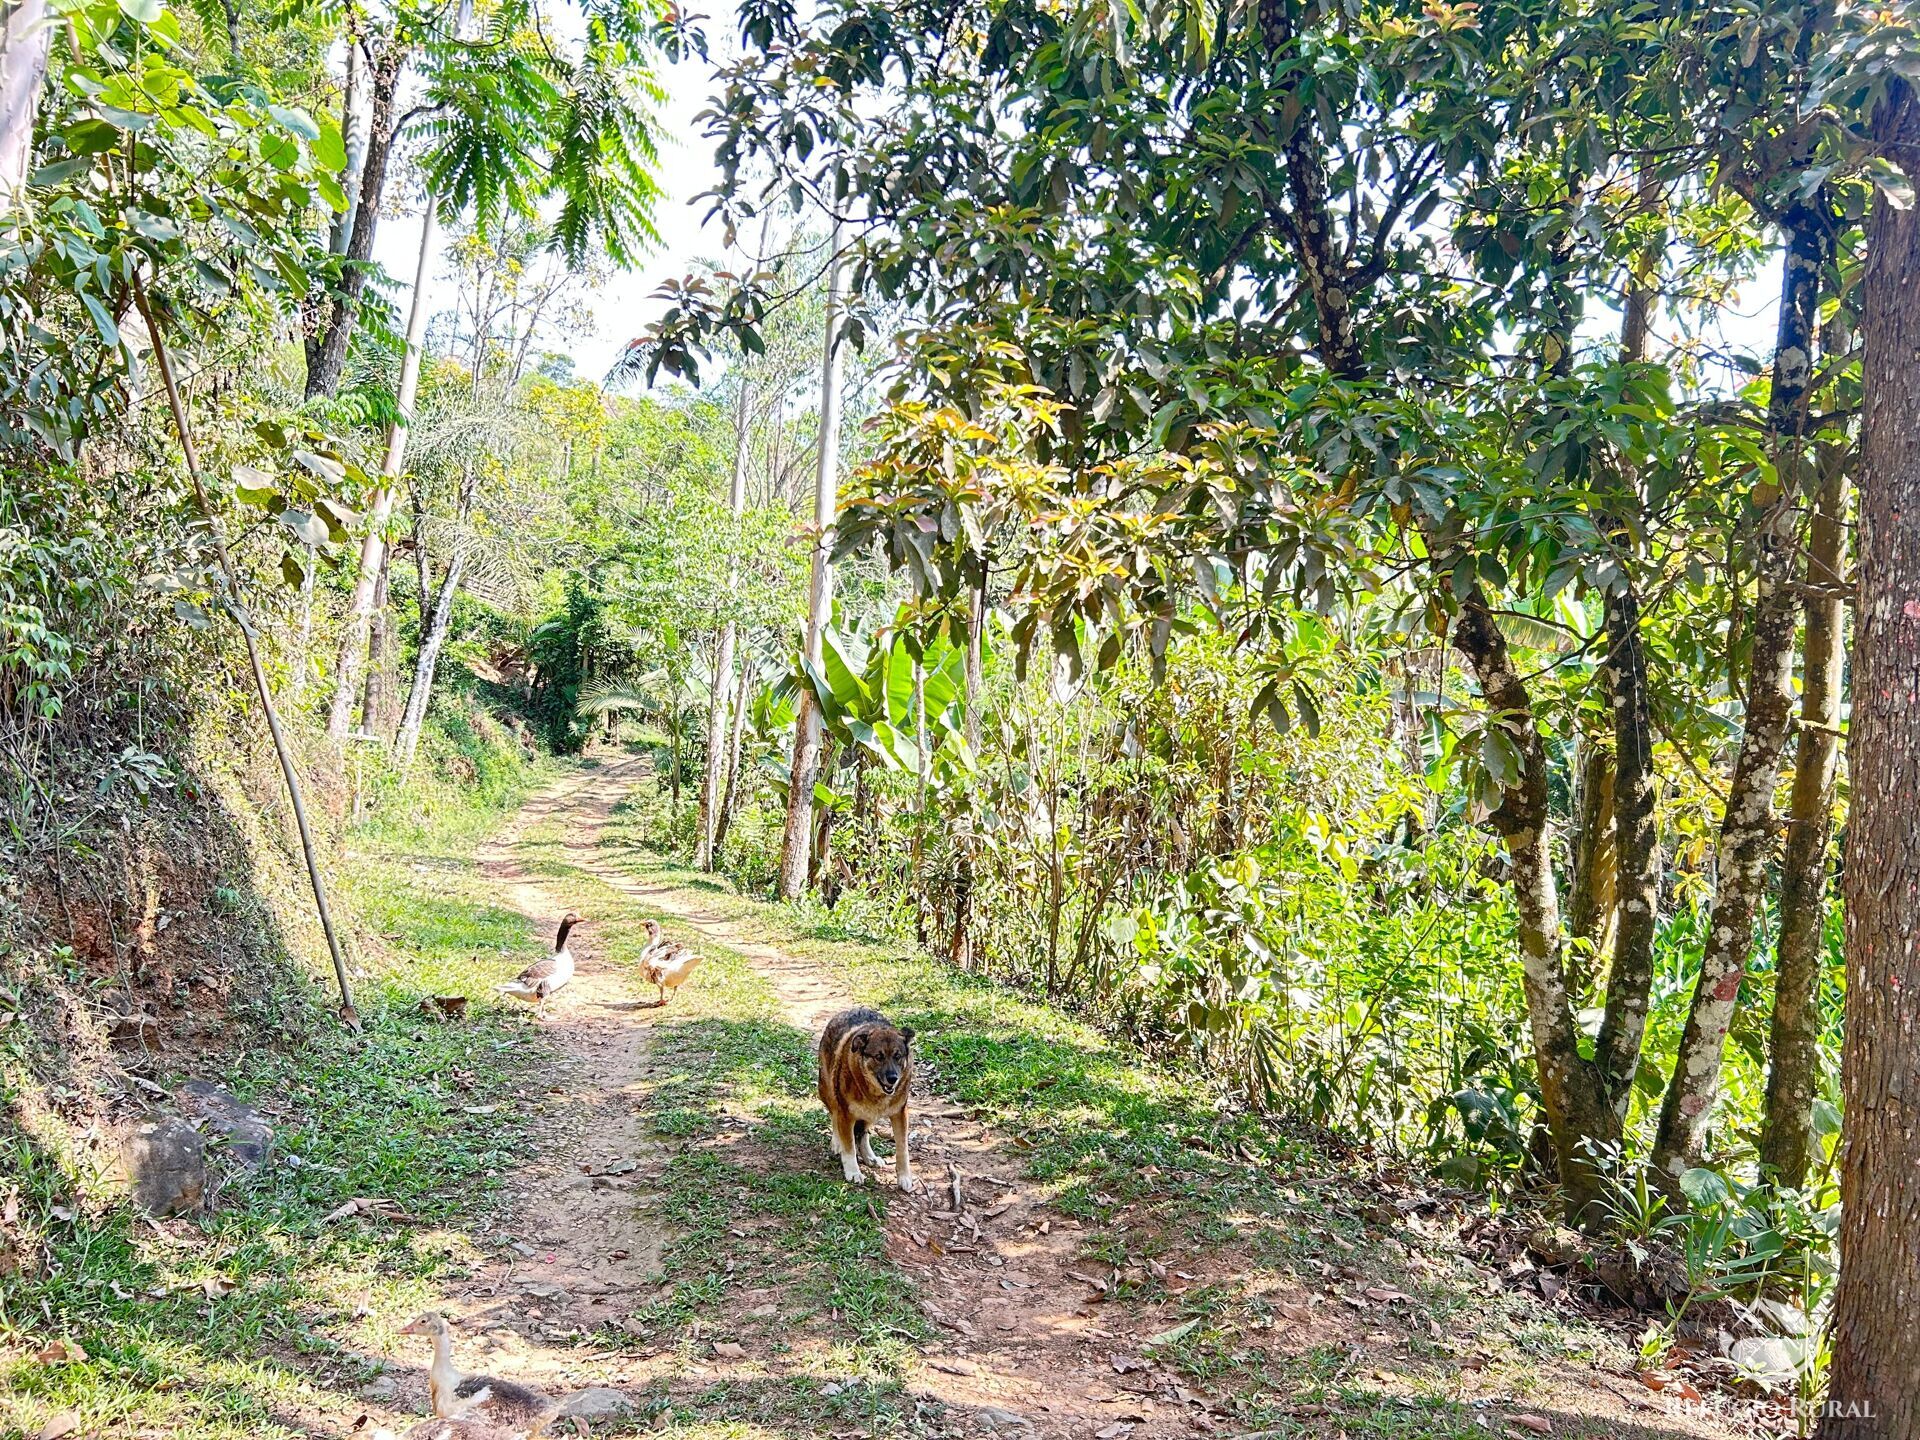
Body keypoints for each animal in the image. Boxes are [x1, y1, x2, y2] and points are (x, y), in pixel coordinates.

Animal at [817, 1006, 913, 1198]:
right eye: (879, 1056)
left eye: (898, 1056)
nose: (893, 1078)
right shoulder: (845, 1114)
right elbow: (849, 1147)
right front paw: (853, 1172)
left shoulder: (900, 1113)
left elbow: (902, 1148)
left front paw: (904, 1177)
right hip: (828, 1091)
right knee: (834, 1115)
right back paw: (837, 1142)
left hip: (869, 1114)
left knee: (863, 1134)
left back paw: (870, 1157)